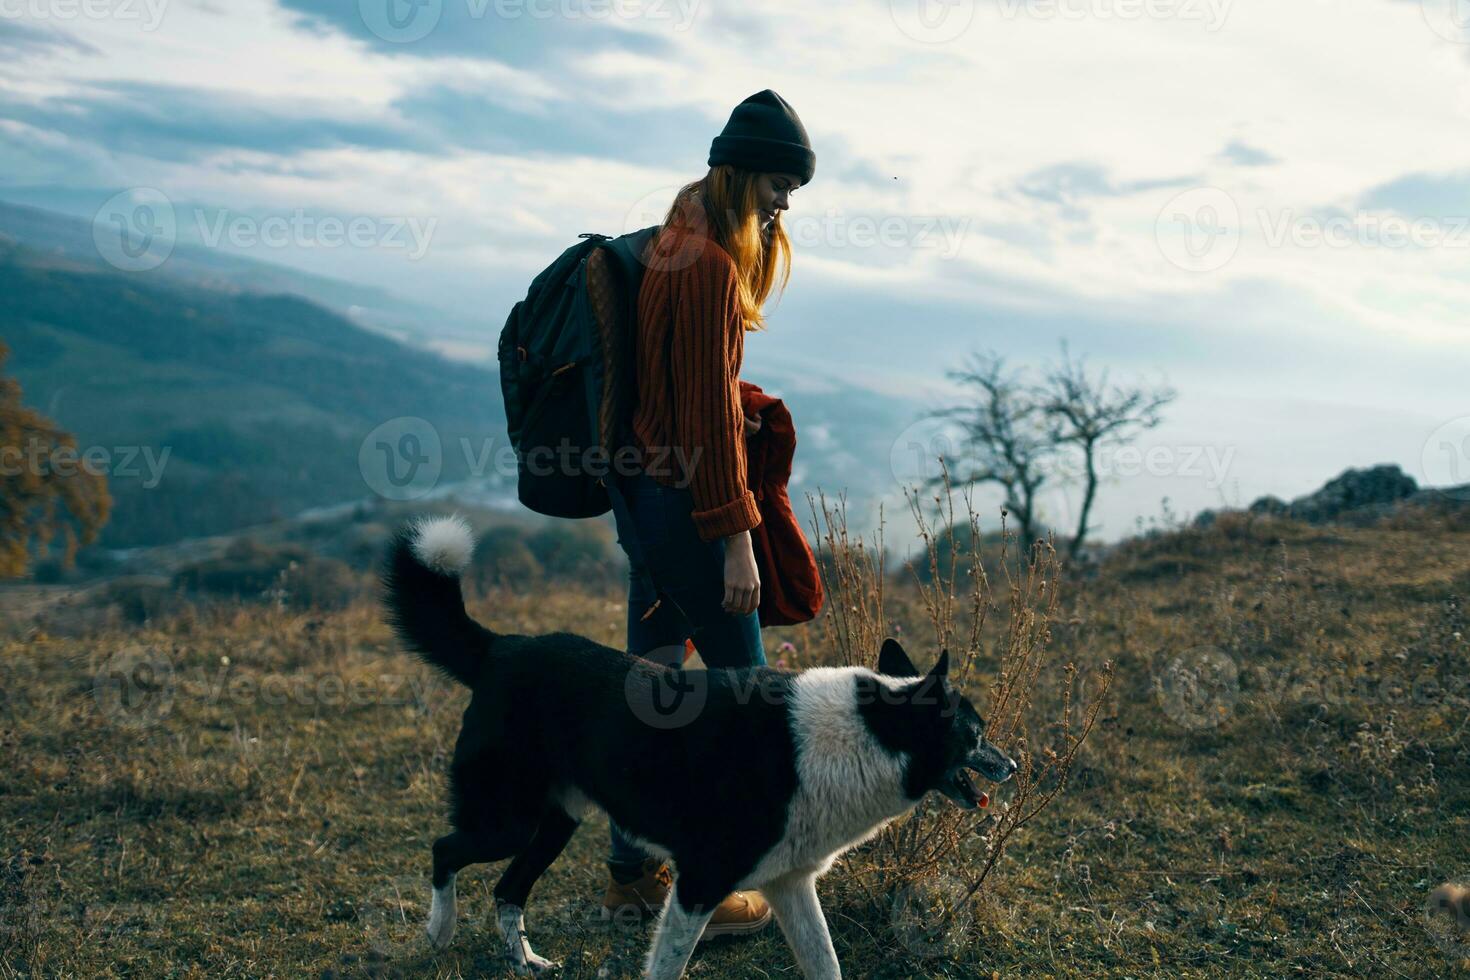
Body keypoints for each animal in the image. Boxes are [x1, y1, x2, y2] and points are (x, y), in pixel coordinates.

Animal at [379, 517, 1017, 975]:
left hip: (555, 822)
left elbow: (826, 964)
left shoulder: (790, 883)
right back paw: (439, 932)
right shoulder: (699, 883)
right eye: (976, 734)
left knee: (508, 888)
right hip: (508, 821)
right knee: (444, 850)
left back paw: (525, 961)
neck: (866, 732)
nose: (1013, 765)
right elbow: (666, 966)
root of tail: (500, 648)